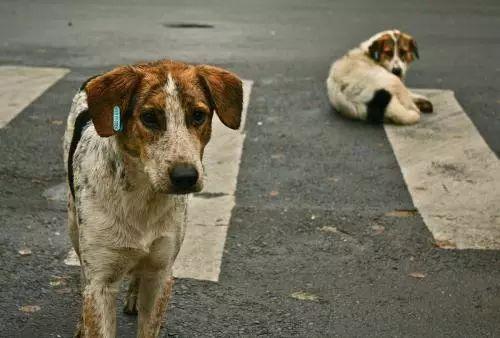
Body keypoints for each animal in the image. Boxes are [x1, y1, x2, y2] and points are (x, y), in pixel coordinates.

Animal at [63, 60, 243, 338]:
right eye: (148, 118)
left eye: (198, 115)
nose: (185, 177)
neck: (143, 196)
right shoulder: (101, 281)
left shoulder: (161, 274)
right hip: (74, 223)